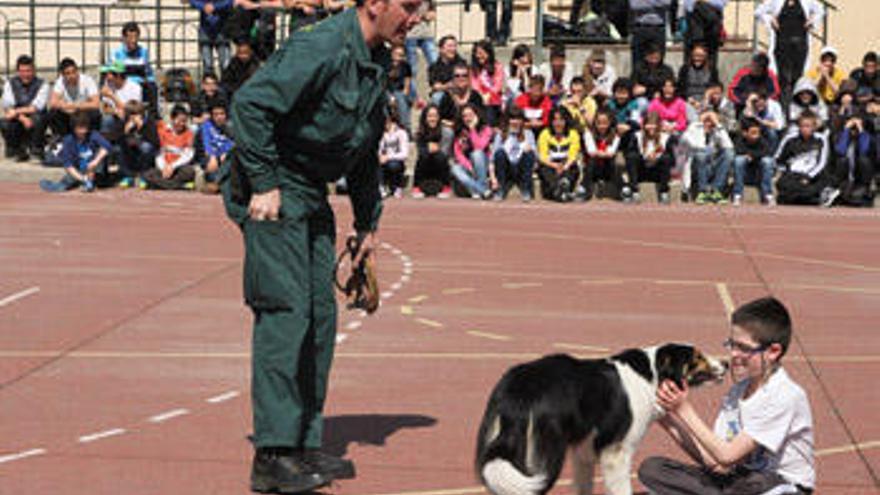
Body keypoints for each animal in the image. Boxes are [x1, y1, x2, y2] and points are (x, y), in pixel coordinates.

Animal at [478, 344, 724, 495]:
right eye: (697, 357)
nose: (726, 364)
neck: (652, 375)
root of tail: (522, 390)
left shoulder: (583, 451)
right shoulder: (617, 453)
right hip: (545, 457)